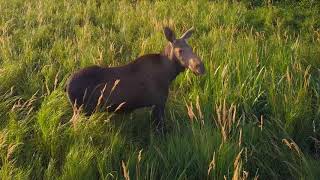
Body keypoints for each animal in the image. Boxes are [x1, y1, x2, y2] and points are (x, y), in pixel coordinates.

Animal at [66, 26, 205, 133]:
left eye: (191, 48)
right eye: (180, 50)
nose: (201, 67)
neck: (169, 73)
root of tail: (66, 86)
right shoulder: (159, 103)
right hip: (81, 110)